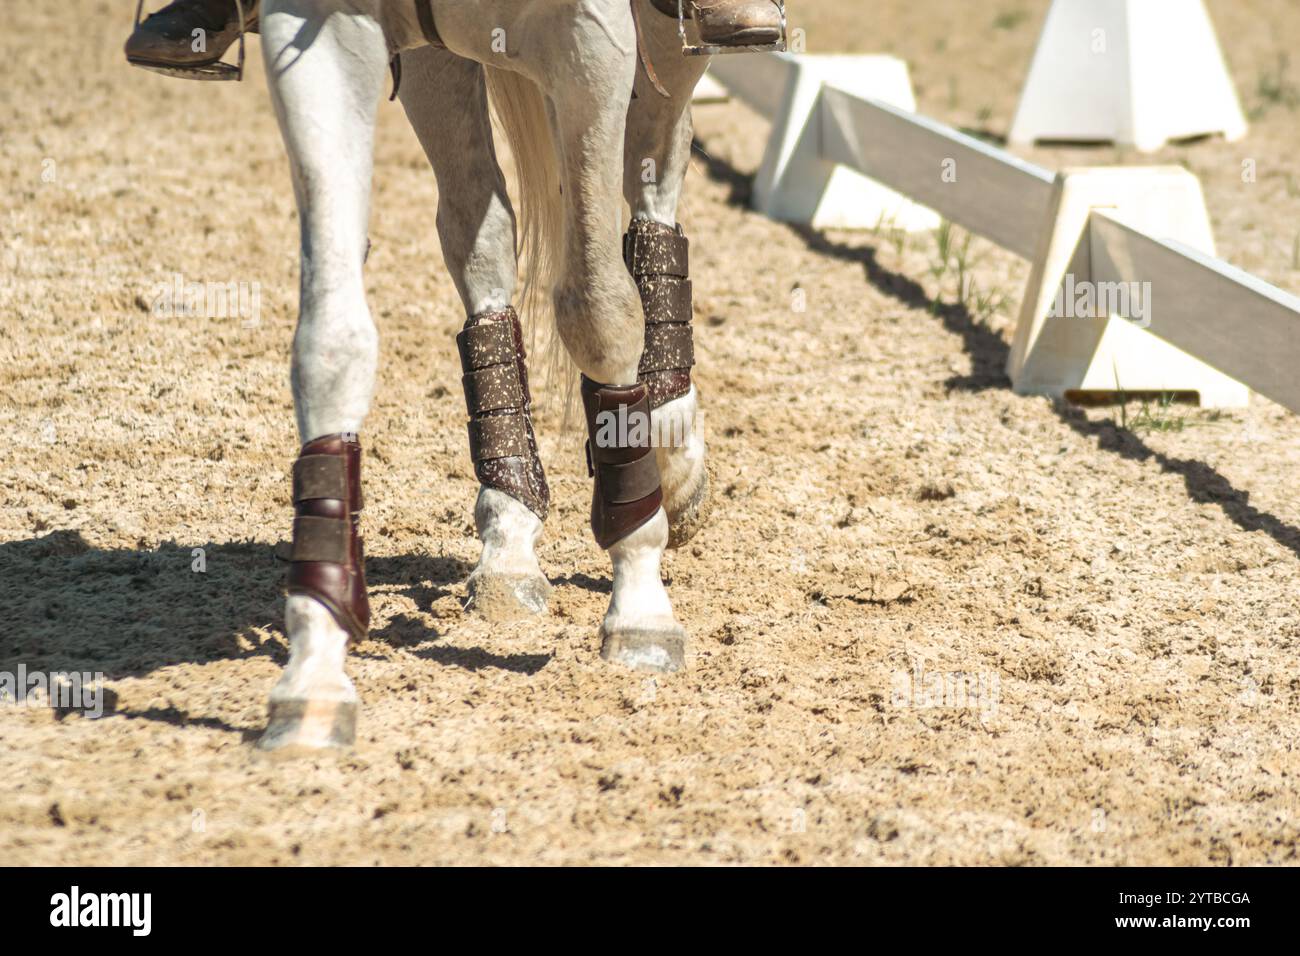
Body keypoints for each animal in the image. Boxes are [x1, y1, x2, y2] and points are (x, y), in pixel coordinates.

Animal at [256, 0, 712, 754]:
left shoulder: (592, 42)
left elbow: (598, 307)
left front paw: (641, 602)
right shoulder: (321, 38)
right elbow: (332, 341)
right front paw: (314, 669)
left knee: (655, 167)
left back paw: (672, 450)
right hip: (437, 59)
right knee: (479, 220)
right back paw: (510, 543)